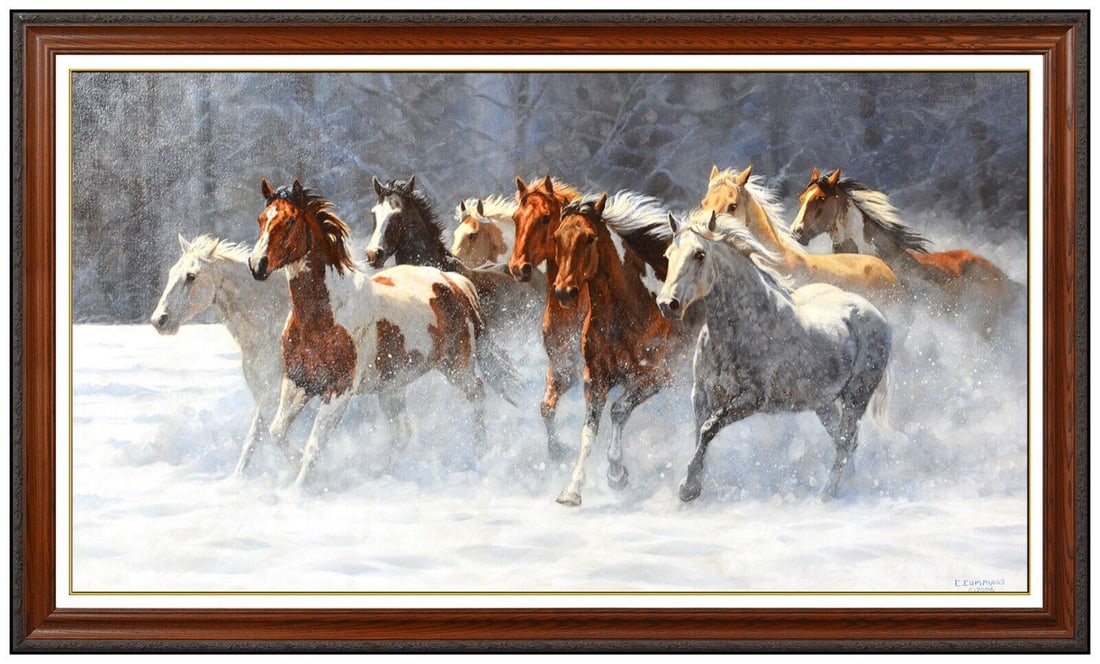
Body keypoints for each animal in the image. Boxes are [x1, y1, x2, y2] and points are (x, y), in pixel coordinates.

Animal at [149, 234, 289, 476]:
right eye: (171, 272)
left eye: (191, 276)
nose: (159, 320)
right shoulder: (264, 389)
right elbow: (255, 438)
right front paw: (237, 478)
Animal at [247, 179, 520, 488]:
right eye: (261, 219)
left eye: (290, 220)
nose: (257, 264)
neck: (321, 318)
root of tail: (454, 282)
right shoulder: (298, 381)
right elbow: (276, 432)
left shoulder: (338, 390)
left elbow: (313, 446)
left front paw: (300, 490)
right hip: (392, 386)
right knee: (402, 434)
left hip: (456, 367)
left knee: (476, 396)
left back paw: (479, 454)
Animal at [549, 192, 698, 507]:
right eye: (557, 237)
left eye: (590, 237)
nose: (564, 292)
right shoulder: (594, 379)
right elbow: (588, 431)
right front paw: (571, 490)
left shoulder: (658, 377)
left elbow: (619, 410)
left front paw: (616, 474)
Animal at [656, 210, 892, 502]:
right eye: (668, 255)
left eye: (700, 254)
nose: (668, 304)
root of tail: (876, 314)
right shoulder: (701, 393)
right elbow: (699, 433)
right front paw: (692, 484)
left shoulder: (753, 399)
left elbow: (709, 427)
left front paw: (688, 489)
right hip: (823, 403)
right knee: (845, 442)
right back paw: (846, 485)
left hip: (856, 397)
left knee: (846, 442)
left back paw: (826, 494)